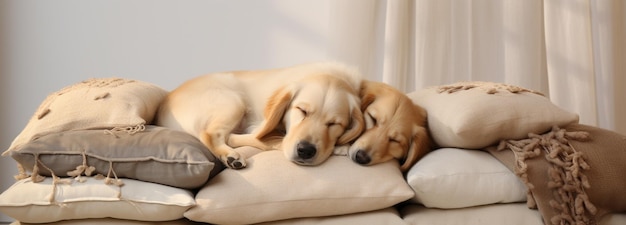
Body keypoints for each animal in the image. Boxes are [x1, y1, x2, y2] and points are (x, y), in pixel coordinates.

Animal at [154, 62, 364, 169]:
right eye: (301, 110)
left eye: (334, 123)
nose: (305, 150)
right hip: (233, 101)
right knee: (212, 134)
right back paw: (231, 156)